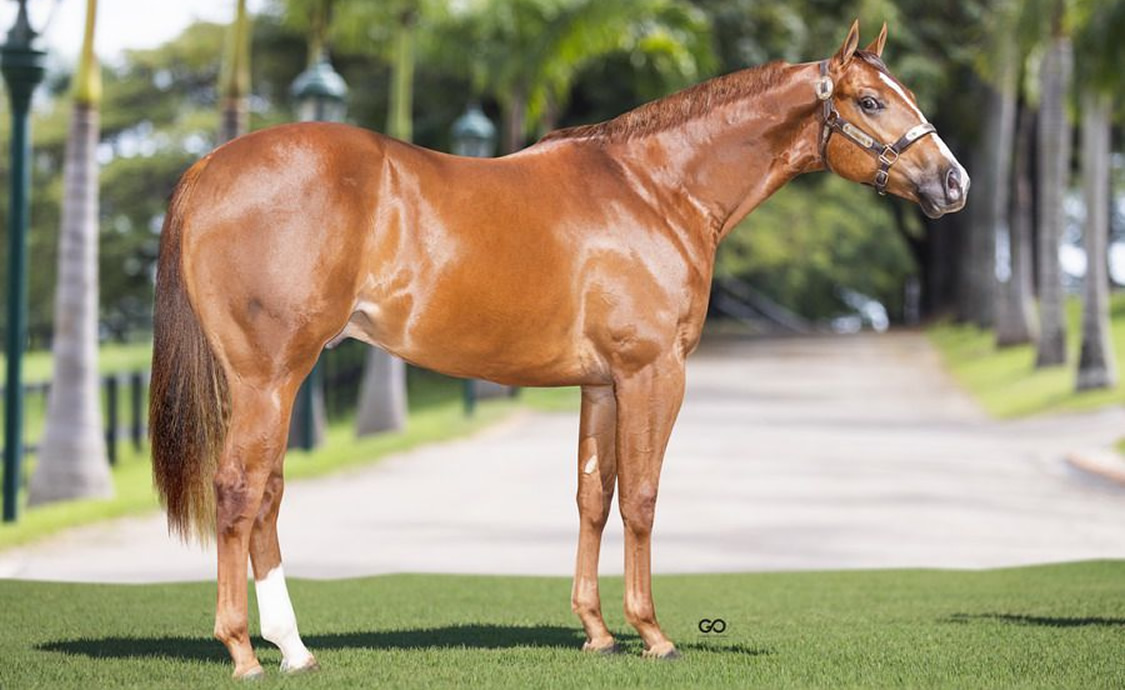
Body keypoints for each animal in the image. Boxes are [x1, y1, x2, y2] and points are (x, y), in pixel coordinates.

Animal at [149, 21, 967, 679]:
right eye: (871, 102)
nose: (953, 182)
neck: (654, 190)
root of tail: (209, 168)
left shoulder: (600, 383)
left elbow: (592, 497)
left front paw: (597, 633)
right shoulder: (652, 373)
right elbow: (641, 497)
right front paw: (653, 634)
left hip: (279, 380)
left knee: (268, 495)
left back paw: (294, 649)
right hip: (270, 375)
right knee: (240, 491)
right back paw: (245, 652)